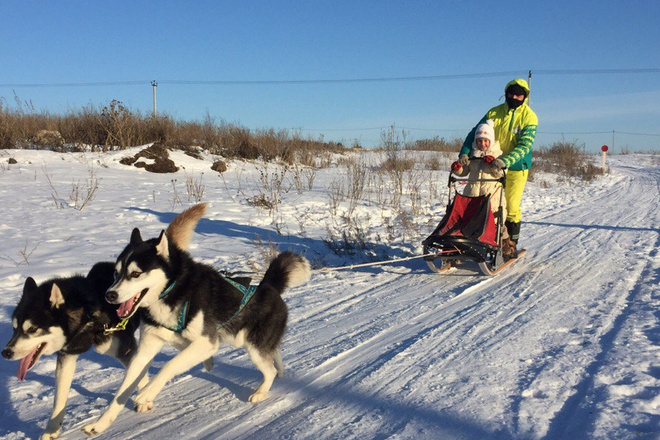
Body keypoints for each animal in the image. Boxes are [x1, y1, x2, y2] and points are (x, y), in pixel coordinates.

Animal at [1, 204, 206, 440]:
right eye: (15, 328)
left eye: (32, 328)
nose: (5, 352)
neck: (89, 312)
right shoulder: (68, 355)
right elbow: (59, 398)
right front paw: (51, 431)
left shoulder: (126, 350)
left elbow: (138, 377)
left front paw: (143, 400)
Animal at [82, 229, 310, 434]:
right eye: (116, 273)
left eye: (136, 274)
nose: (110, 295)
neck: (172, 291)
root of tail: (268, 286)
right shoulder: (146, 350)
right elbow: (121, 392)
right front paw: (100, 424)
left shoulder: (206, 342)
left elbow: (170, 365)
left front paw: (146, 393)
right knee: (274, 354)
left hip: (254, 348)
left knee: (268, 370)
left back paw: (261, 392)